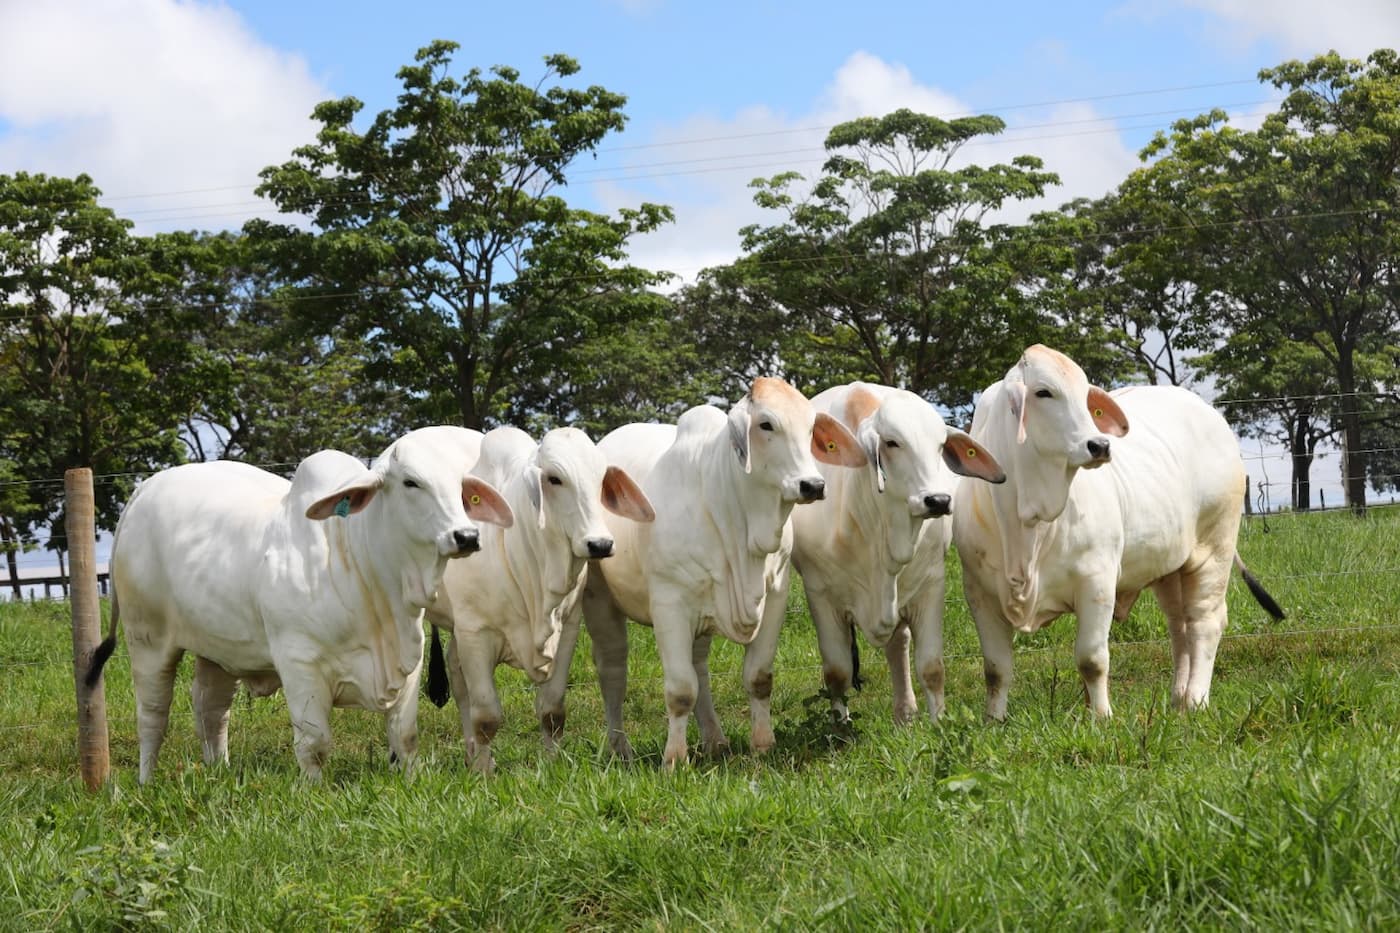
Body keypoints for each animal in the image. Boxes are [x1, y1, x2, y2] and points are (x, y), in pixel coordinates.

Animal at [87, 428, 515, 778]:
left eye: (460, 488)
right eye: (412, 482)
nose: (466, 535)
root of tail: (145, 489)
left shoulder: (410, 661)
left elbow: (405, 737)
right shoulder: (299, 664)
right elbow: (314, 744)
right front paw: (314, 792)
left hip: (217, 648)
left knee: (210, 709)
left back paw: (219, 773)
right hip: (148, 640)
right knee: (153, 715)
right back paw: (146, 781)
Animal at [414, 423, 655, 767]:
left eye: (600, 480)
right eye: (554, 479)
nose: (600, 544)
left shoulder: (567, 628)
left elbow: (552, 710)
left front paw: (552, 764)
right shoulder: (475, 632)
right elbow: (486, 716)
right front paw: (484, 771)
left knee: (457, 677)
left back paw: (470, 752)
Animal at [554, 375, 862, 767]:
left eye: (810, 428)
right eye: (766, 424)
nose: (813, 485)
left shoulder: (775, 594)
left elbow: (758, 677)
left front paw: (763, 744)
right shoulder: (669, 605)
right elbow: (680, 690)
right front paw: (674, 759)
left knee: (699, 666)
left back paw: (714, 739)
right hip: (599, 601)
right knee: (612, 670)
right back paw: (620, 749)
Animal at [795, 381, 1002, 722]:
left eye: (940, 446)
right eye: (892, 443)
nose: (938, 500)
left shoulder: (931, 585)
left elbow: (932, 667)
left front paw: (938, 722)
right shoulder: (820, 595)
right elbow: (837, 673)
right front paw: (840, 727)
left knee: (898, 645)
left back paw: (905, 712)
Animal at [952, 344, 1282, 714]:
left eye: (1086, 397)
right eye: (1043, 392)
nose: (1100, 445)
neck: (1026, 518)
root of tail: (1209, 412)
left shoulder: (1096, 582)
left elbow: (1091, 660)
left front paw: (1101, 716)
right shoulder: (979, 593)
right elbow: (996, 669)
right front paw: (994, 719)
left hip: (1214, 548)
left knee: (1205, 622)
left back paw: (1196, 700)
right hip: (1170, 567)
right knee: (1179, 626)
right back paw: (1177, 699)